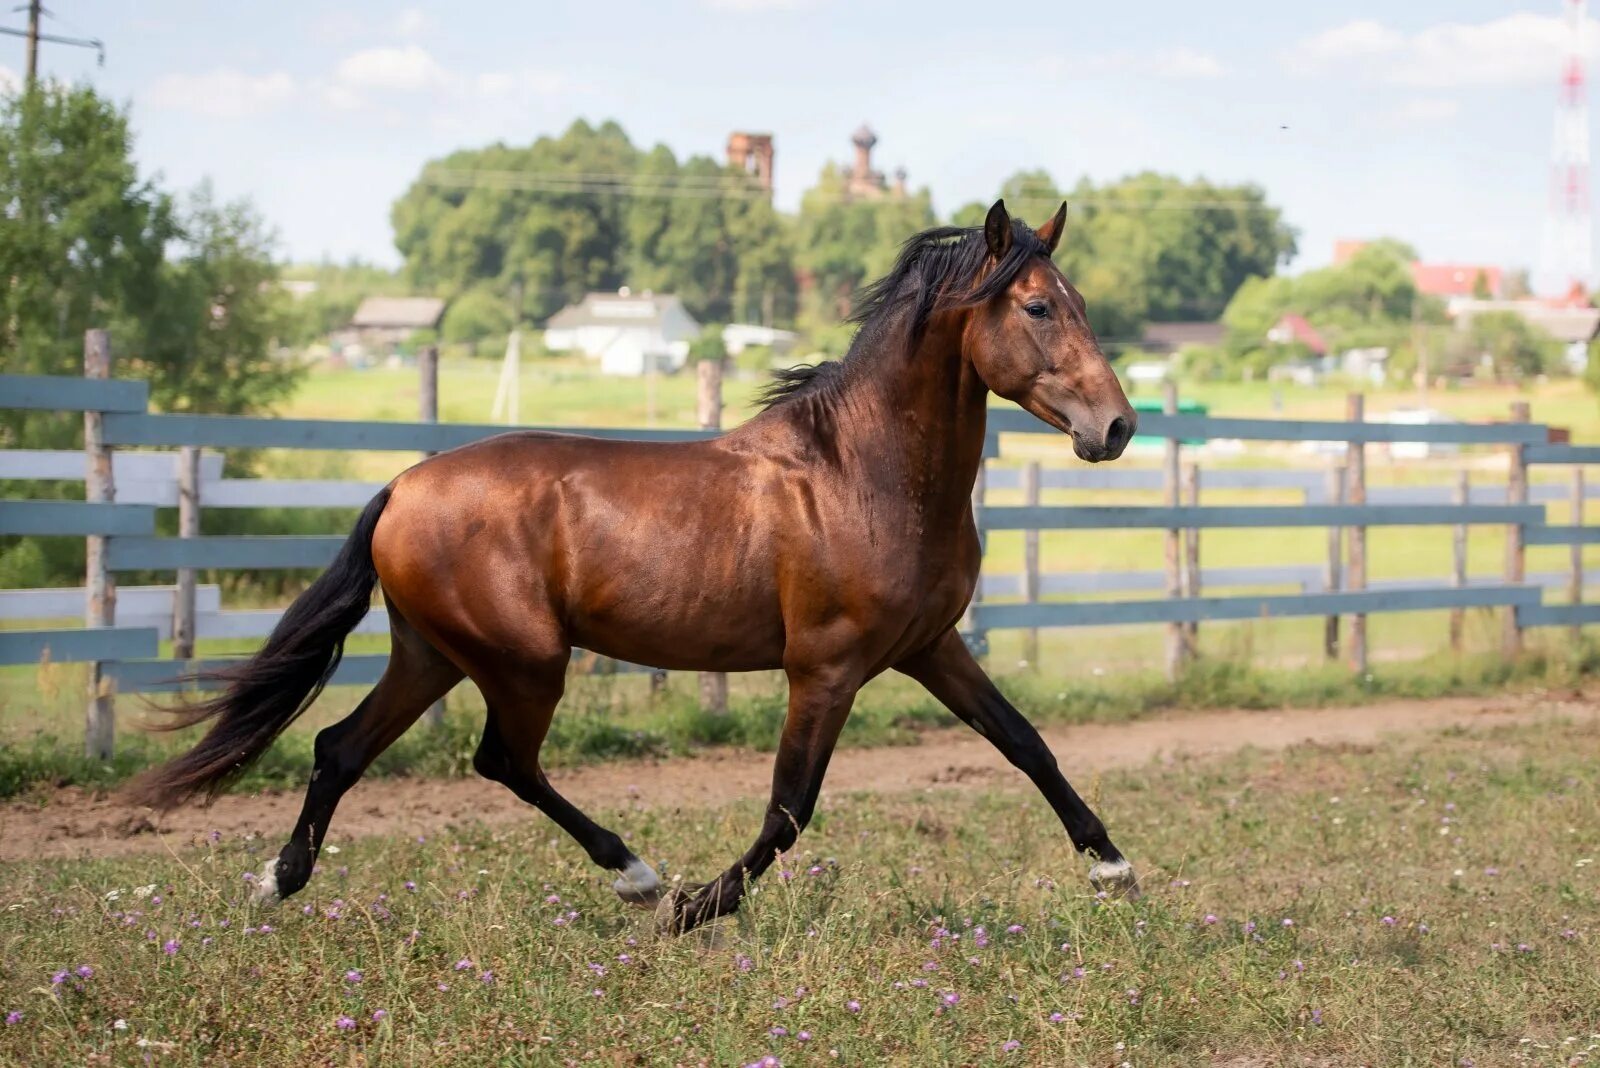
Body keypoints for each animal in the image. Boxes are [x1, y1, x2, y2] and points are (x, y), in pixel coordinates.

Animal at [131, 199, 1145, 933]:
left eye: (1081, 304)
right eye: (1038, 306)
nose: (1118, 427)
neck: (860, 472)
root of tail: (403, 485)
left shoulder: (931, 647)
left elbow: (1025, 742)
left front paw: (1116, 868)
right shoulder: (826, 668)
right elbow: (790, 807)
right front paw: (697, 910)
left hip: (432, 655)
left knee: (340, 748)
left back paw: (278, 881)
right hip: (521, 661)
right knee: (501, 759)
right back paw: (641, 879)